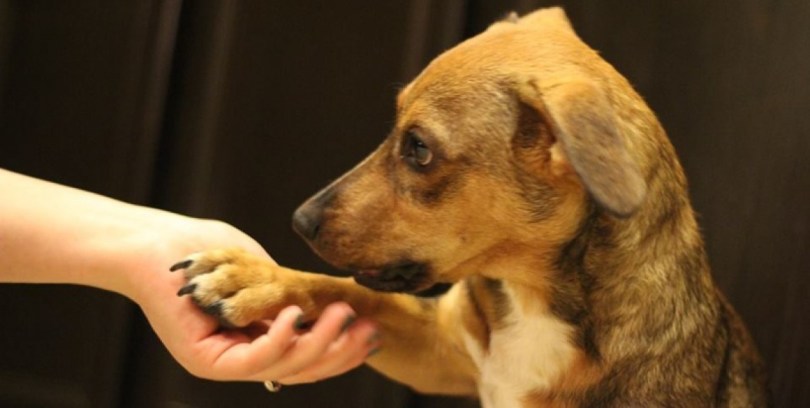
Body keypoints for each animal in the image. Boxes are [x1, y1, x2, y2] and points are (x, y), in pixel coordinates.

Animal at [173, 8, 768, 407]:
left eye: (418, 149)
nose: (300, 221)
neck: (536, 300)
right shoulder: (439, 350)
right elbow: (346, 291)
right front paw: (252, 280)